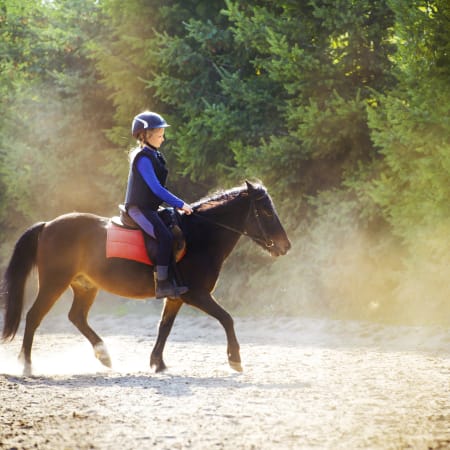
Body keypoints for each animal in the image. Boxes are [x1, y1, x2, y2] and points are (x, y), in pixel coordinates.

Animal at [1, 181, 290, 374]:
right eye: (265, 212)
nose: (285, 245)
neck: (200, 236)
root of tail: (48, 226)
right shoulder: (196, 294)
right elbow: (227, 318)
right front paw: (235, 359)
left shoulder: (176, 297)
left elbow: (164, 327)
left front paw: (157, 363)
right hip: (54, 283)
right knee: (34, 317)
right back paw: (27, 365)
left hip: (85, 286)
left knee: (76, 317)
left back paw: (104, 355)